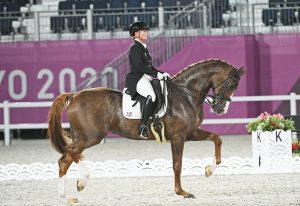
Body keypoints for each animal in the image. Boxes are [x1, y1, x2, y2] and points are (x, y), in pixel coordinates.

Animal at [47, 58, 246, 200]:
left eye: (236, 87)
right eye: (231, 85)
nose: (220, 109)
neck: (185, 95)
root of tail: (74, 96)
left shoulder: (190, 133)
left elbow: (216, 138)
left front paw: (209, 170)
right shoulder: (178, 137)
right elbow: (177, 165)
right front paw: (182, 192)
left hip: (83, 137)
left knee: (65, 159)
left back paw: (67, 195)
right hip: (91, 137)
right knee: (70, 152)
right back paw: (82, 182)